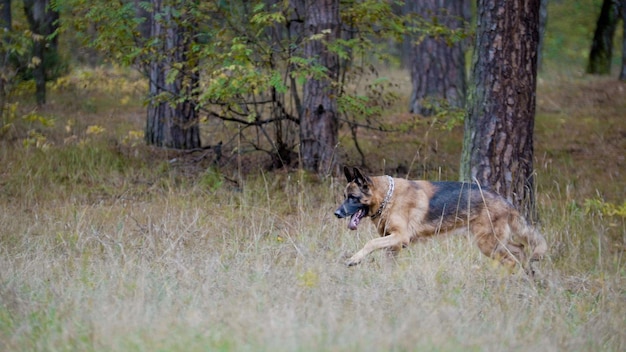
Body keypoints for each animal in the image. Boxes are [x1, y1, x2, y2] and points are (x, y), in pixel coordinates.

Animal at [334, 166, 544, 274]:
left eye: (352, 198)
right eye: (345, 196)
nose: (337, 213)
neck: (388, 197)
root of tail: (504, 201)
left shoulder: (399, 237)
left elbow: (370, 243)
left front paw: (354, 259)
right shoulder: (393, 245)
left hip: (488, 245)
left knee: (511, 261)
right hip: (497, 243)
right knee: (521, 249)